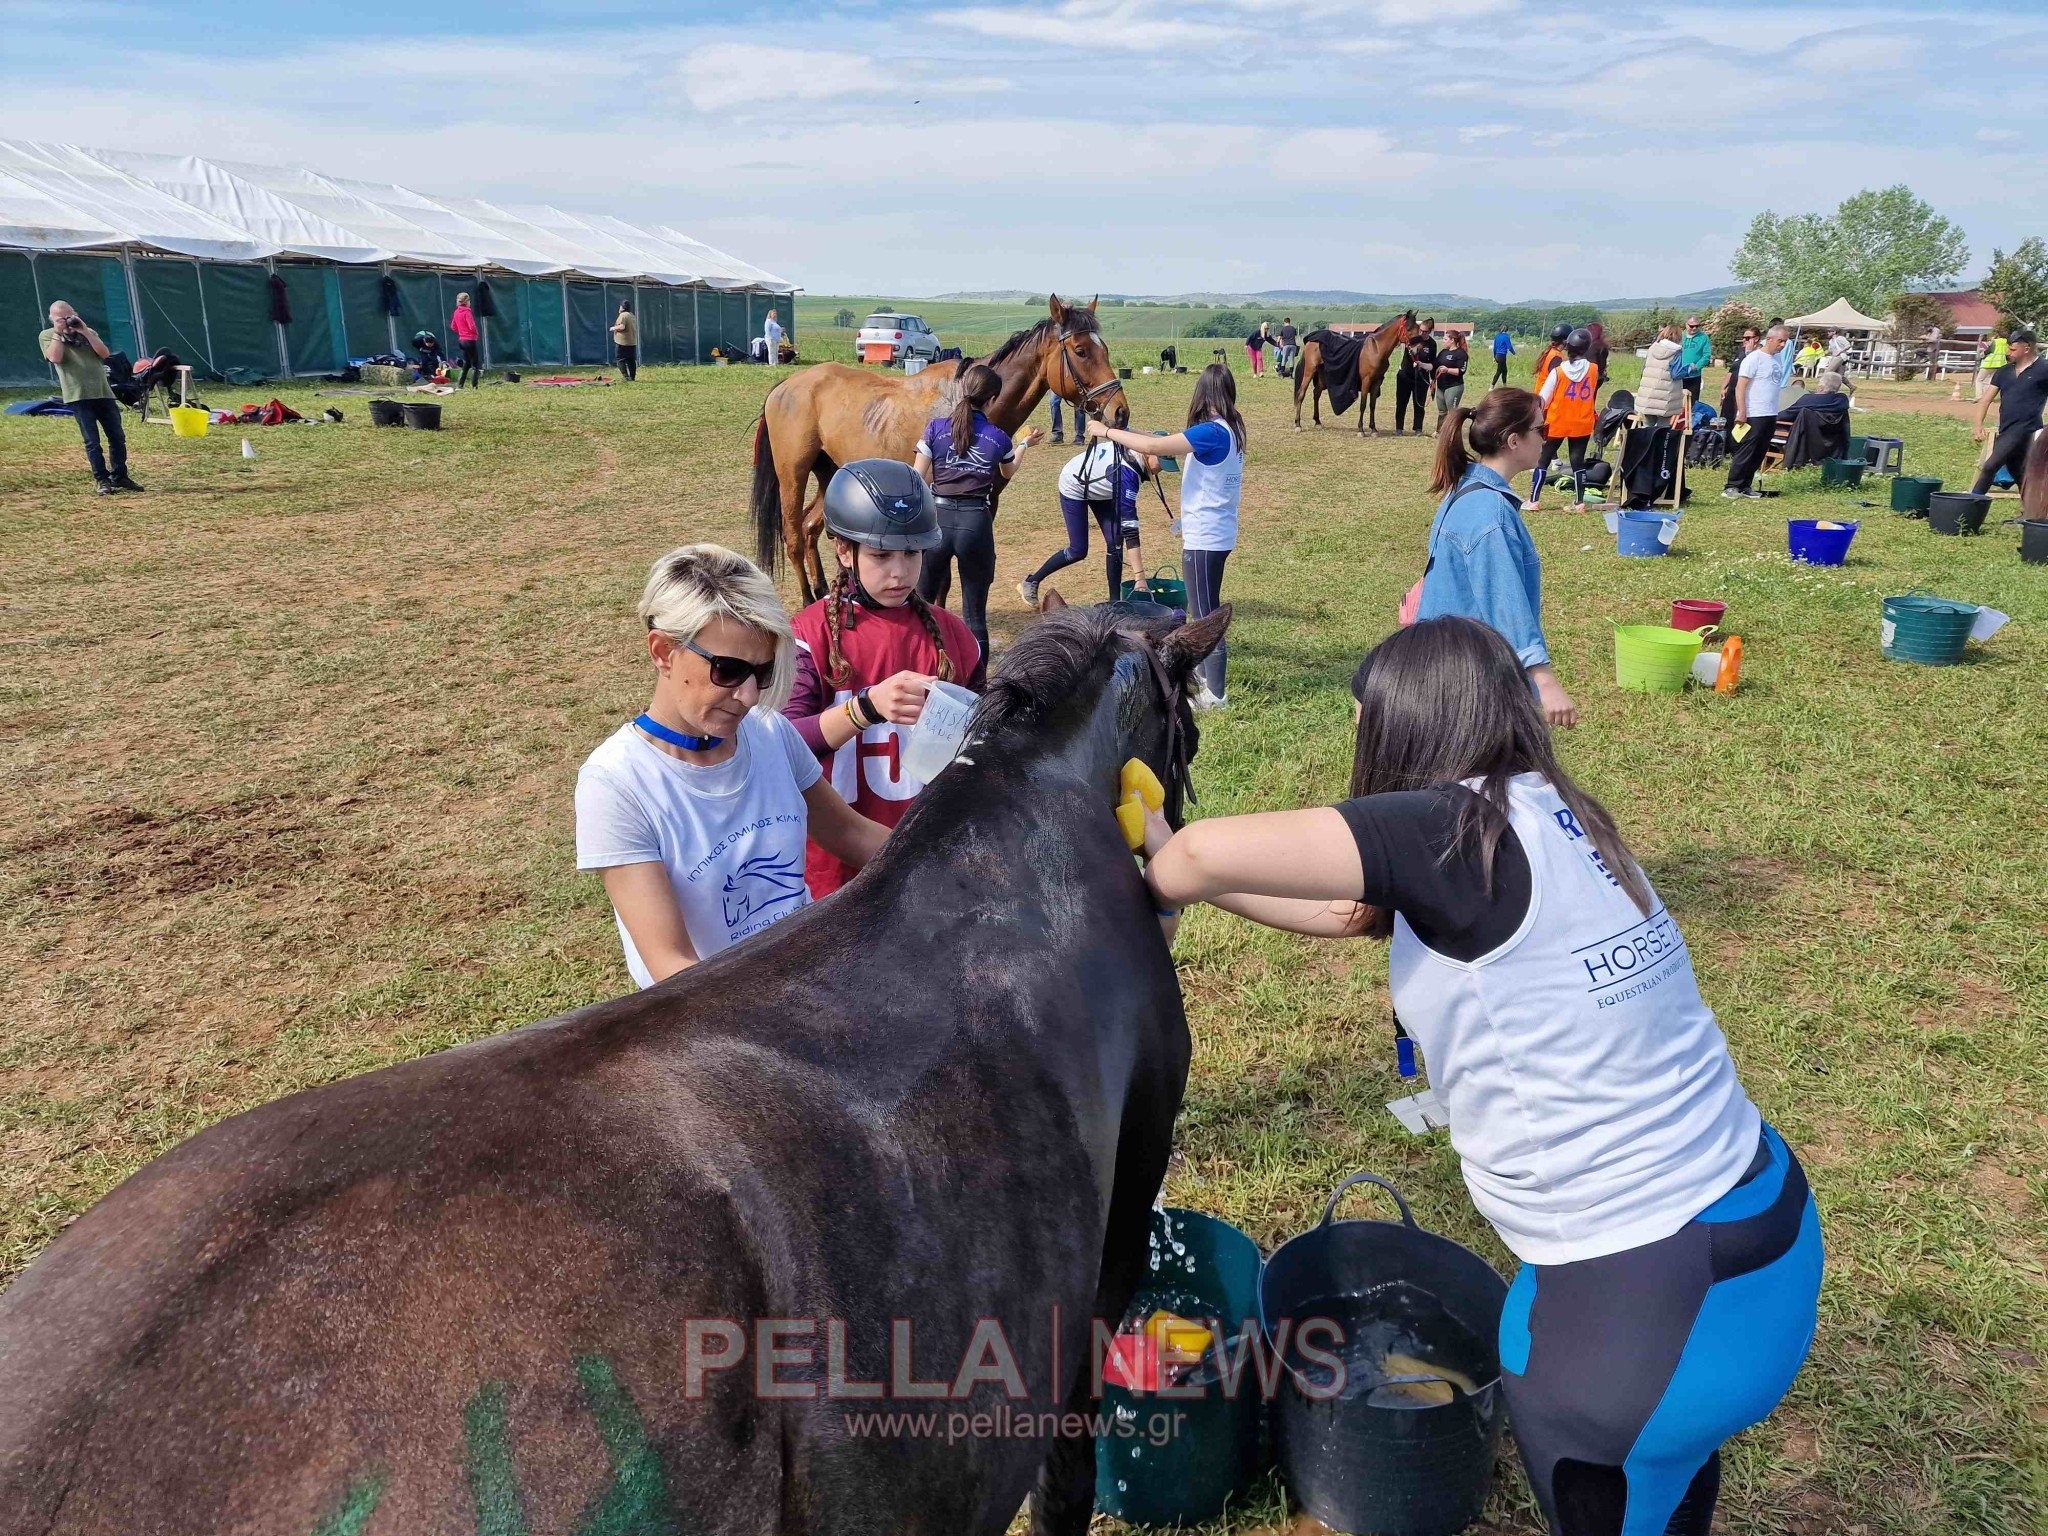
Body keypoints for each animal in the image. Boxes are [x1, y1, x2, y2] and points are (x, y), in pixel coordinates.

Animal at [757, 296, 1130, 606]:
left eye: (1106, 350)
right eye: (1081, 351)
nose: (1120, 412)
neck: (965, 404)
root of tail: (787, 385)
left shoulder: (985, 504)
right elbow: (941, 573)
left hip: (831, 474)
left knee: (810, 528)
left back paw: (823, 592)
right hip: (793, 474)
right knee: (793, 535)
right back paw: (808, 599)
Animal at [1286, 311, 1417, 436]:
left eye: (1417, 328)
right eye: (1409, 328)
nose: (1415, 350)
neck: (1376, 348)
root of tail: (1311, 340)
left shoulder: (1377, 382)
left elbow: (1372, 405)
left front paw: (1373, 429)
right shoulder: (1366, 380)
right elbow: (1363, 404)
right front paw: (1361, 430)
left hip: (1322, 376)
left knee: (1316, 394)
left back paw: (1318, 422)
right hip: (1310, 371)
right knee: (1301, 394)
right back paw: (1298, 425)